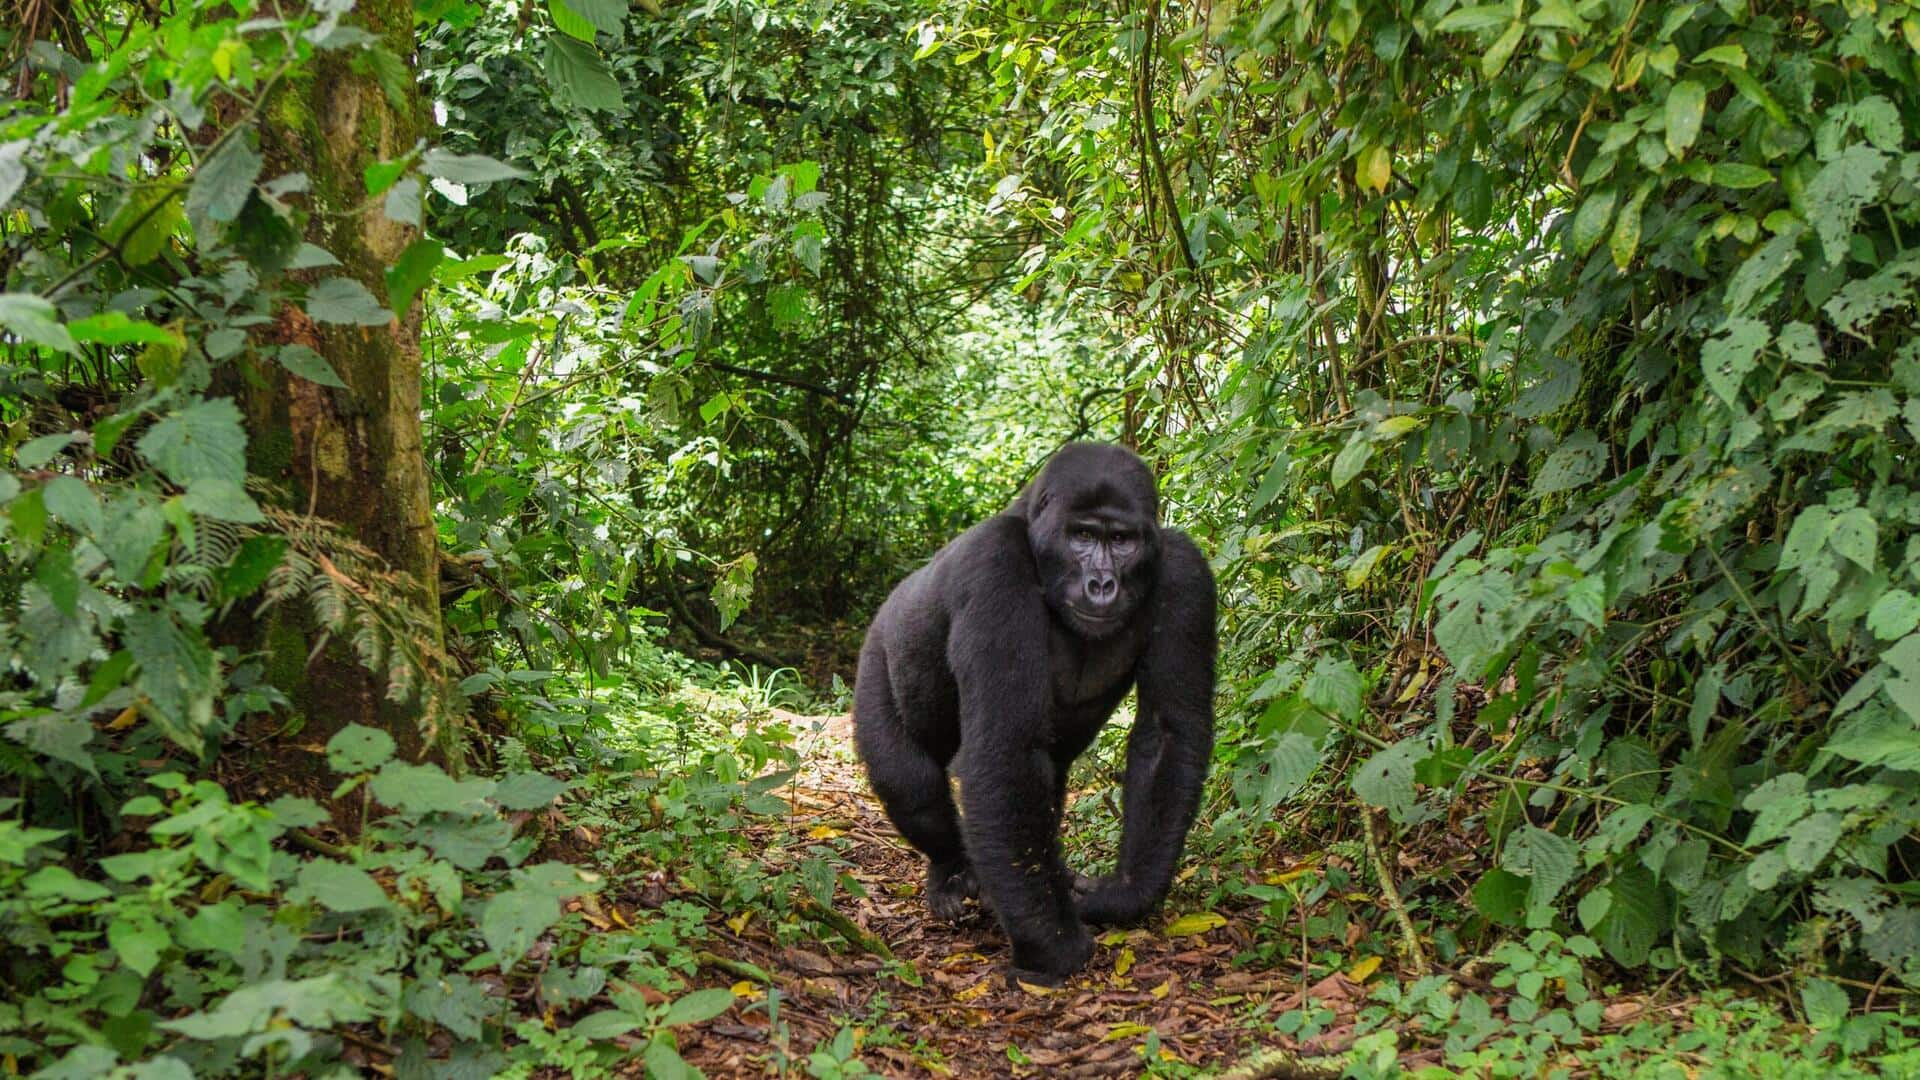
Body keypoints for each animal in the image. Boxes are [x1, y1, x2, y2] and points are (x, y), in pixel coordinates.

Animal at [856, 441, 1213, 980]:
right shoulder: (994, 564)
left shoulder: (1185, 572)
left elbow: (1168, 736)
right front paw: (1053, 945)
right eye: (1082, 536)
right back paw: (951, 871)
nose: (1102, 583)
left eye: (1122, 540)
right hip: (877, 653)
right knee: (908, 781)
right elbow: (1005, 748)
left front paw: (1122, 894)